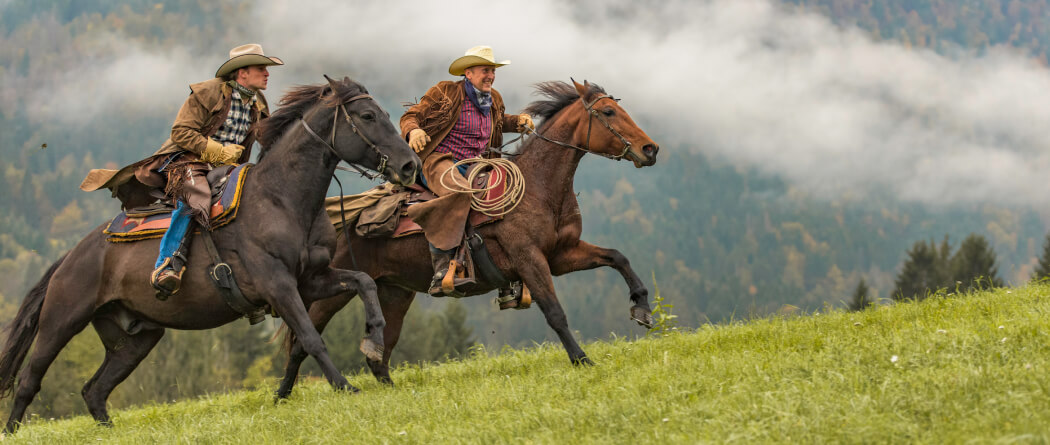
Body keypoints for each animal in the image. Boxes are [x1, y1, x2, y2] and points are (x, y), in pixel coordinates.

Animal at [0, 76, 419, 430]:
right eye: (367, 116)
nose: (408, 165)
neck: (281, 198)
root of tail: (70, 256)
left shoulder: (311, 280)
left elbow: (361, 285)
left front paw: (372, 342)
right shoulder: (278, 286)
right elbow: (311, 337)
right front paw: (344, 386)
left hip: (136, 337)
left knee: (95, 390)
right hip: (61, 322)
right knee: (29, 380)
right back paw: (13, 430)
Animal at [275, 79, 659, 392]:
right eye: (609, 111)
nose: (650, 149)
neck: (540, 188)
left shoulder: (561, 255)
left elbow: (617, 257)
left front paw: (642, 307)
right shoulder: (530, 259)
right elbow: (555, 312)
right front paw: (582, 360)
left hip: (394, 292)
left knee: (380, 351)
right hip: (334, 290)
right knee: (302, 341)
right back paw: (286, 394)